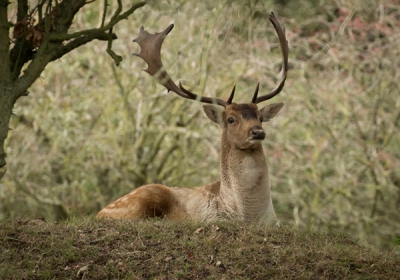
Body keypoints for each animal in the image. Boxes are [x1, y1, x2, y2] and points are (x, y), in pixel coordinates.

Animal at [96, 13, 288, 226]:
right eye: (231, 119)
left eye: (260, 117)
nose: (257, 132)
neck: (248, 215)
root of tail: (98, 213)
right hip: (147, 194)